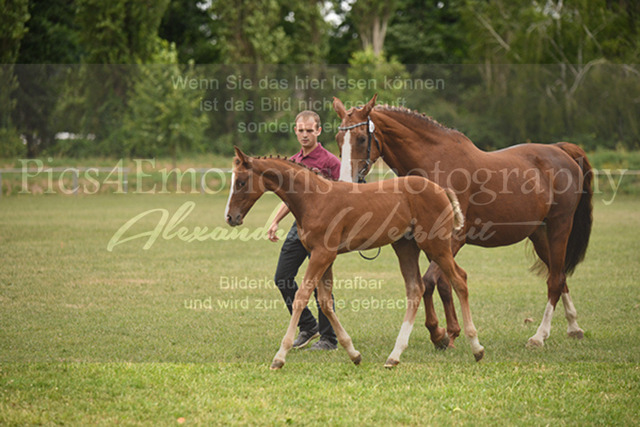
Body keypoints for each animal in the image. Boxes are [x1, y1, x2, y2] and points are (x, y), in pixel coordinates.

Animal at [228, 149, 482, 370]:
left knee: (459, 280)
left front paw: (280, 357)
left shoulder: (322, 255)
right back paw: (394, 356)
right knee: (415, 289)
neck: (312, 198)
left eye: (240, 182)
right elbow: (325, 301)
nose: (231, 217)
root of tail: (441, 190)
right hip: (406, 247)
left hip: (436, 246)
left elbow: (302, 297)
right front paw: (354, 353)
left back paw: (476, 347)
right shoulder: (323, 256)